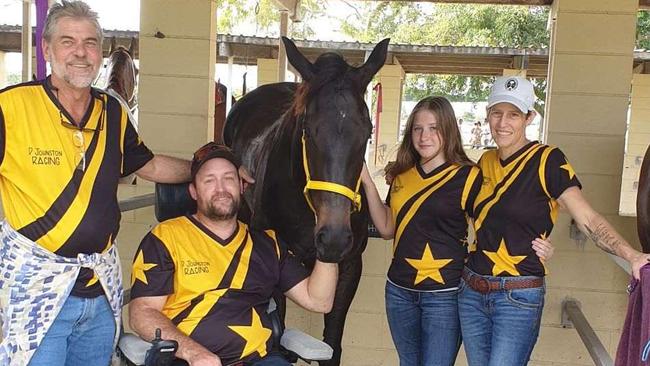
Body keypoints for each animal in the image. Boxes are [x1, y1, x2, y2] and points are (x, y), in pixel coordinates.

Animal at [224, 36, 384, 364]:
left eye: (368, 132)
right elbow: (280, 336)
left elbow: (332, 345)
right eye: (307, 130)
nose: (333, 238)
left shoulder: (350, 266)